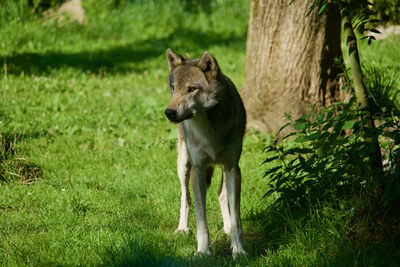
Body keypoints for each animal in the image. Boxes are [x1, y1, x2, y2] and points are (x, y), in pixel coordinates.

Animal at [163, 48, 245, 258]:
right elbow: (202, 221)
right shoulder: (198, 169)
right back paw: (182, 229)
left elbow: (236, 216)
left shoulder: (233, 167)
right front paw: (203, 251)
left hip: (224, 168)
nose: (169, 112)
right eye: (173, 87)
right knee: (185, 197)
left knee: (221, 194)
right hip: (183, 165)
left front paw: (238, 250)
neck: (210, 132)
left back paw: (227, 229)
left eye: (192, 89)